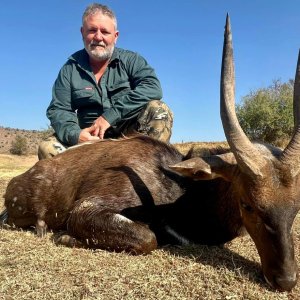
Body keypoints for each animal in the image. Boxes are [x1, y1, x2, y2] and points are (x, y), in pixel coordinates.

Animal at [0, 15, 300, 292]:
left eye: (295, 208)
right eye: (247, 204)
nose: (285, 280)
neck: (182, 192)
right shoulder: (87, 209)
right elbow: (148, 238)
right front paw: (64, 237)